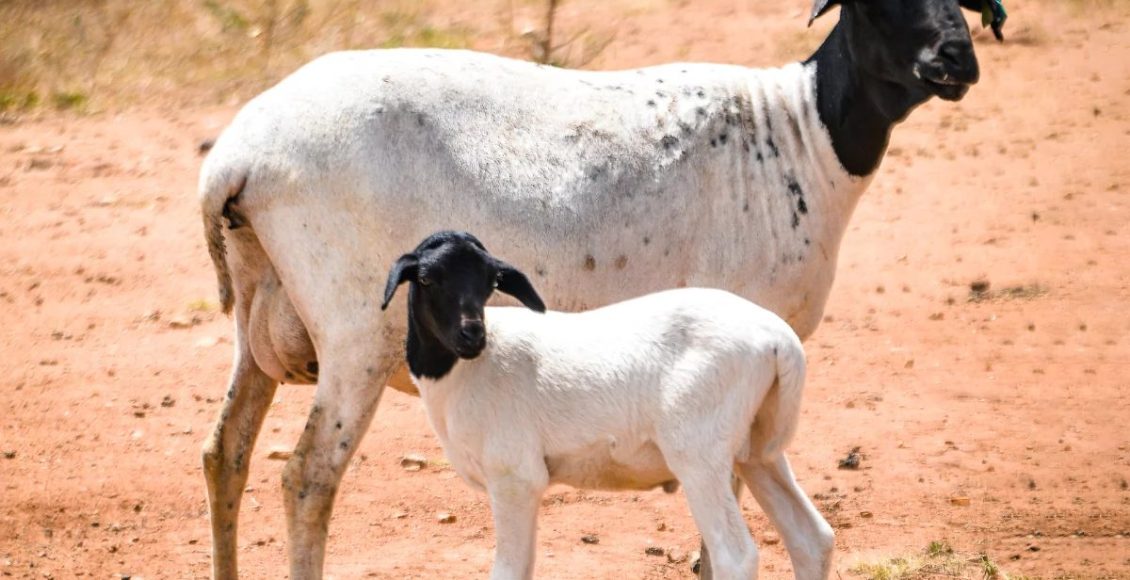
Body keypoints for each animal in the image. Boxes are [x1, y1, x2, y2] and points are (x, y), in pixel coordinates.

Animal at [384, 230, 836, 578]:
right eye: (426, 278)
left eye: (490, 281)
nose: (472, 335)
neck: (462, 373)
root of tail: (778, 338)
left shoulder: (515, 477)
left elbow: (508, 571)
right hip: (756, 447)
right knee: (811, 538)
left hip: (699, 452)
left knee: (736, 557)